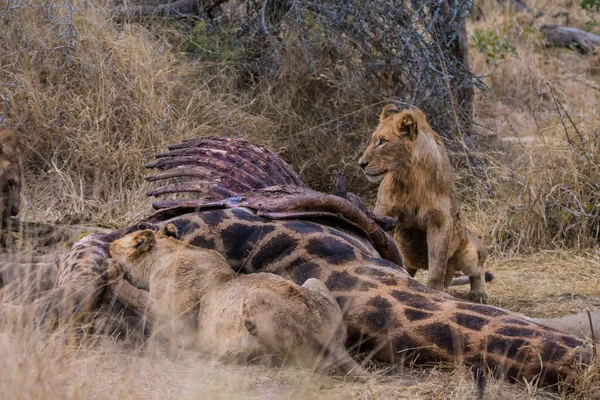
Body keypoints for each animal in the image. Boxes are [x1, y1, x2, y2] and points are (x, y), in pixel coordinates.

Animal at [108, 225, 366, 376]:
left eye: (118, 243)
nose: (109, 244)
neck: (170, 251)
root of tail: (332, 336)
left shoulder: (180, 325)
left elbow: (139, 296)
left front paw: (112, 272)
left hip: (255, 296)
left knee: (296, 361)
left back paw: (230, 354)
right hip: (314, 282)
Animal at [358, 106, 490, 304]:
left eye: (382, 141)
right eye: (373, 139)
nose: (361, 164)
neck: (410, 175)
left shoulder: (440, 219)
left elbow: (437, 260)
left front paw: (435, 290)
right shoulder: (384, 210)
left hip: (469, 252)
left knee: (477, 270)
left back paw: (479, 293)